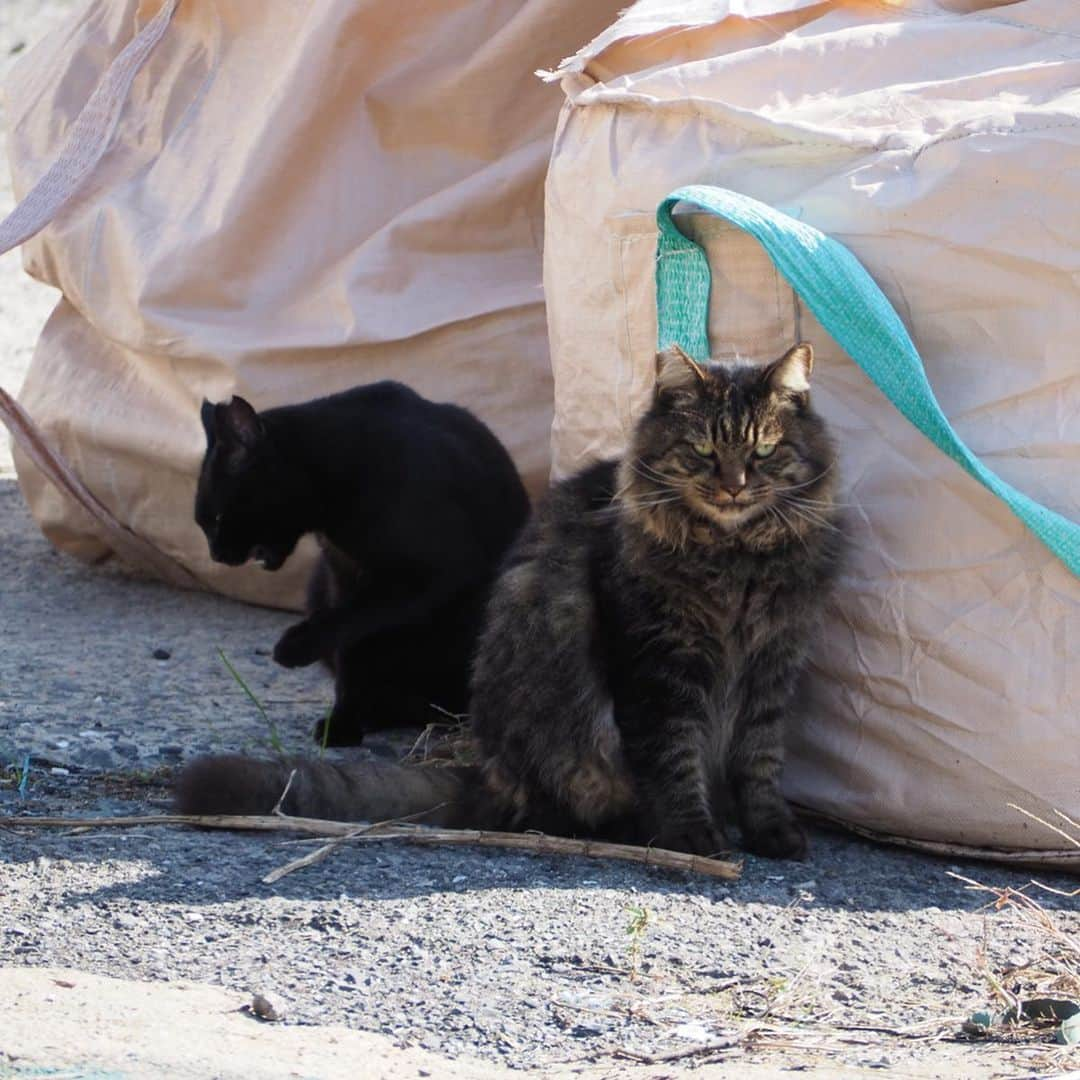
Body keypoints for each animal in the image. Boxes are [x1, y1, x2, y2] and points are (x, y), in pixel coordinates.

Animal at [197, 384, 531, 747]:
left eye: (217, 519)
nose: (215, 554)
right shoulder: (343, 575)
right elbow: (350, 645)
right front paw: (342, 722)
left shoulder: (436, 570)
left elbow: (348, 619)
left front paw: (296, 645)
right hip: (318, 585)